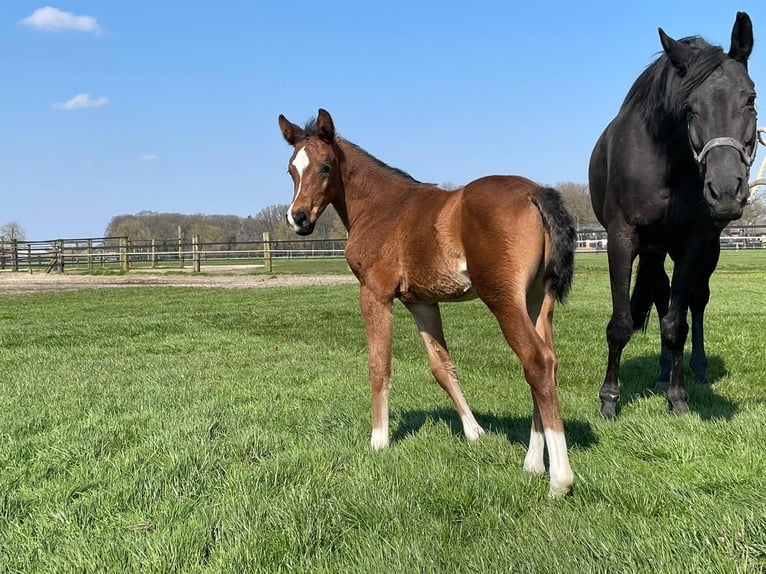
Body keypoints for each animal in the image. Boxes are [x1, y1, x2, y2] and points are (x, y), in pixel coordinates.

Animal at [592, 12, 760, 418]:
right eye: (689, 106)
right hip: (653, 250)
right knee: (659, 294)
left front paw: (678, 397)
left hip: (706, 251)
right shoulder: (622, 237)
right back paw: (660, 372)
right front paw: (609, 399)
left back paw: (693, 369)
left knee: (695, 300)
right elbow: (621, 323)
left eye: (750, 98)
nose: (726, 191)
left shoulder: (695, 241)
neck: (667, 162)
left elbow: (677, 323)